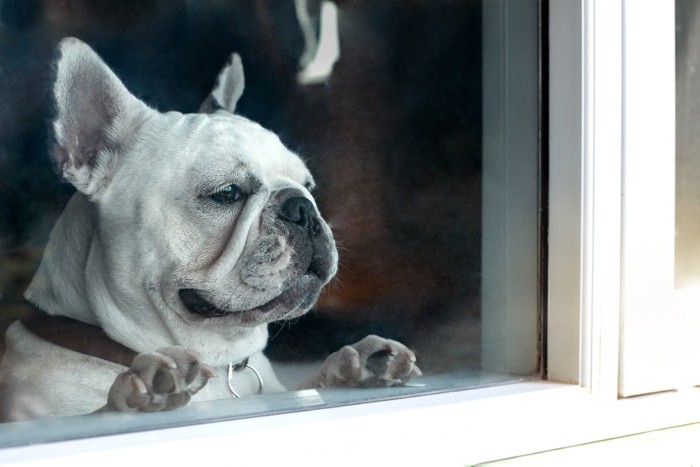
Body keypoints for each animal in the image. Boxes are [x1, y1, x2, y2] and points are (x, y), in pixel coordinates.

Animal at [0, 38, 418, 422]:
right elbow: (100, 414)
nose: (303, 208)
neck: (220, 363)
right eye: (227, 193)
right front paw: (142, 390)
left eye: (308, 185)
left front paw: (357, 365)